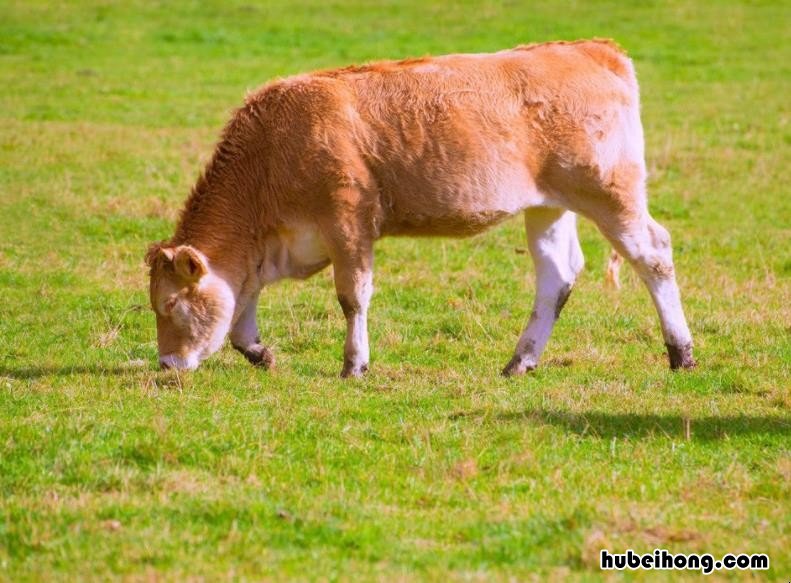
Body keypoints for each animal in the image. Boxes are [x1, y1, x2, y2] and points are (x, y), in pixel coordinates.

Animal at [145, 40, 696, 378]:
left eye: (170, 305)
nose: (167, 365)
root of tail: (591, 49)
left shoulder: (348, 223)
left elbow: (352, 297)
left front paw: (354, 365)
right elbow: (242, 304)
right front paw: (259, 351)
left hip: (611, 194)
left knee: (654, 254)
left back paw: (681, 353)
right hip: (548, 206)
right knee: (557, 275)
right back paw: (520, 361)